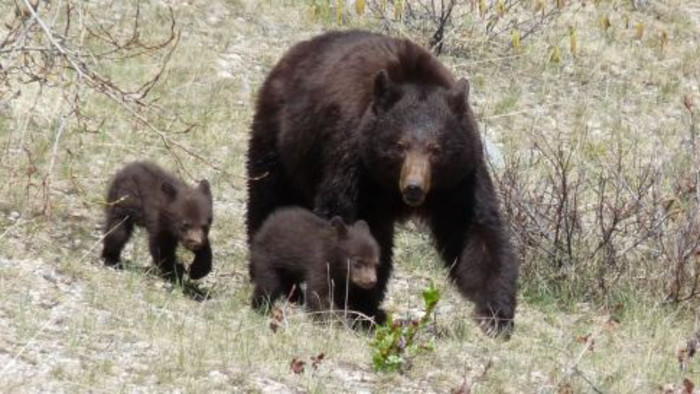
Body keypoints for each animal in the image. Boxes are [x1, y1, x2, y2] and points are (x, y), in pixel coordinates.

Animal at [252, 208, 380, 322]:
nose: (371, 281)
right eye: (358, 262)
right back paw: (259, 308)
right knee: (268, 284)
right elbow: (317, 294)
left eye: (375, 262)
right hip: (268, 257)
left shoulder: (339, 280)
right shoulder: (319, 263)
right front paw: (335, 319)